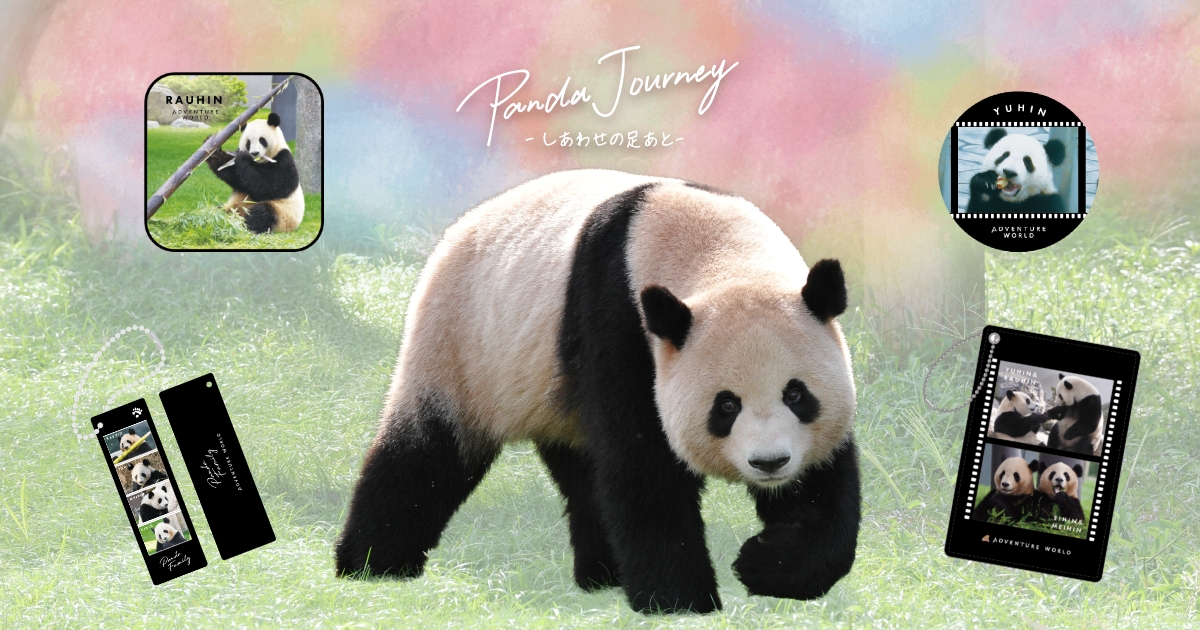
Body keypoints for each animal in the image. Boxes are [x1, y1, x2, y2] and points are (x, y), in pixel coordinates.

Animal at [334, 170, 860, 614]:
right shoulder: (619, 321)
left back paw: (602, 575)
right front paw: (682, 602)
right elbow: (643, 469)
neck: (722, 255)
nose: (769, 463)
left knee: (584, 473)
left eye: (797, 395)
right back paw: (372, 566)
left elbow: (822, 487)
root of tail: (457, 230)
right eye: (726, 405)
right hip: (462, 344)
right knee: (425, 456)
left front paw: (768, 563)